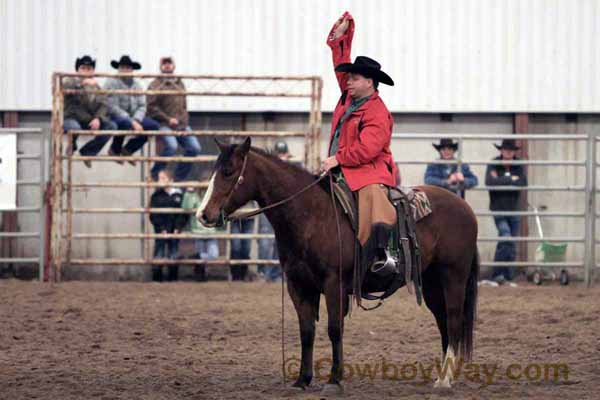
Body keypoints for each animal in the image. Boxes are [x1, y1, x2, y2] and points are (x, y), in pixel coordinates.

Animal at [199, 138, 480, 394]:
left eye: (228, 172)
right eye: (213, 171)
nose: (203, 214)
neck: (312, 216)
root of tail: (465, 207)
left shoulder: (334, 284)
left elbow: (334, 329)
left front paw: (334, 380)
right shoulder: (298, 286)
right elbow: (306, 331)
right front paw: (302, 380)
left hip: (453, 277)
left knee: (454, 319)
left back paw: (444, 380)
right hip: (432, 283)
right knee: (444, 322)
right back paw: (445, 375)